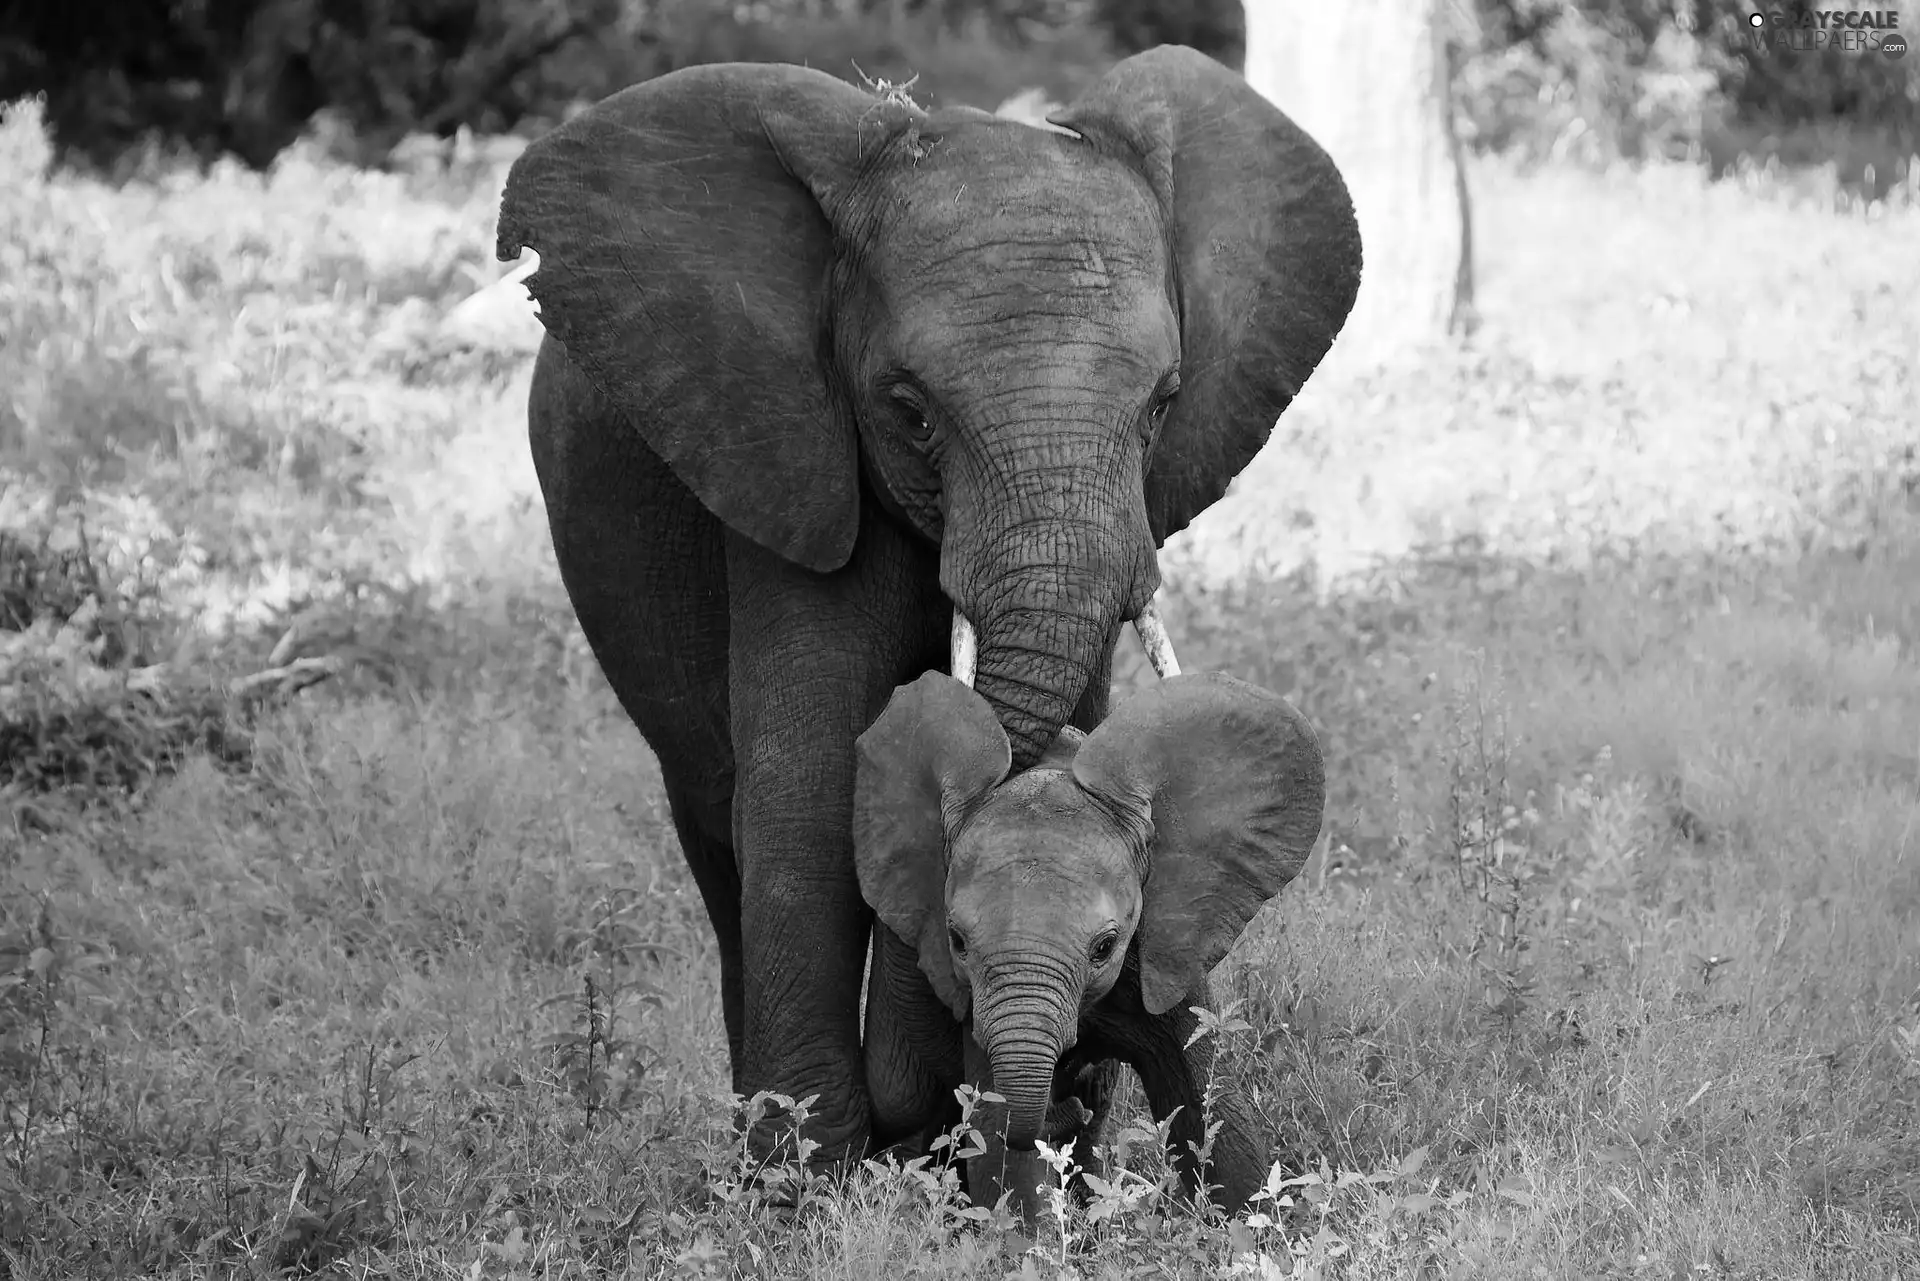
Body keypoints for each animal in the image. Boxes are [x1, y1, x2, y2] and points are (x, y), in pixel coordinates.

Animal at [495, 42, 1367, 1160]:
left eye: (1163, 406)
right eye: (910, 413)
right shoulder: (788, 458)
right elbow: (809, 782)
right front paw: (807, 1177)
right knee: (716, 824)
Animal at [856, 672, 1320, 1221]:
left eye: (1105, 946)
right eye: (958, 942)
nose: (1063, 1102)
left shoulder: (1162, 950)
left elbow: (1210, 1104)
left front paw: (1252, 1228)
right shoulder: (974, 1003)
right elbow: (1001, 1153)